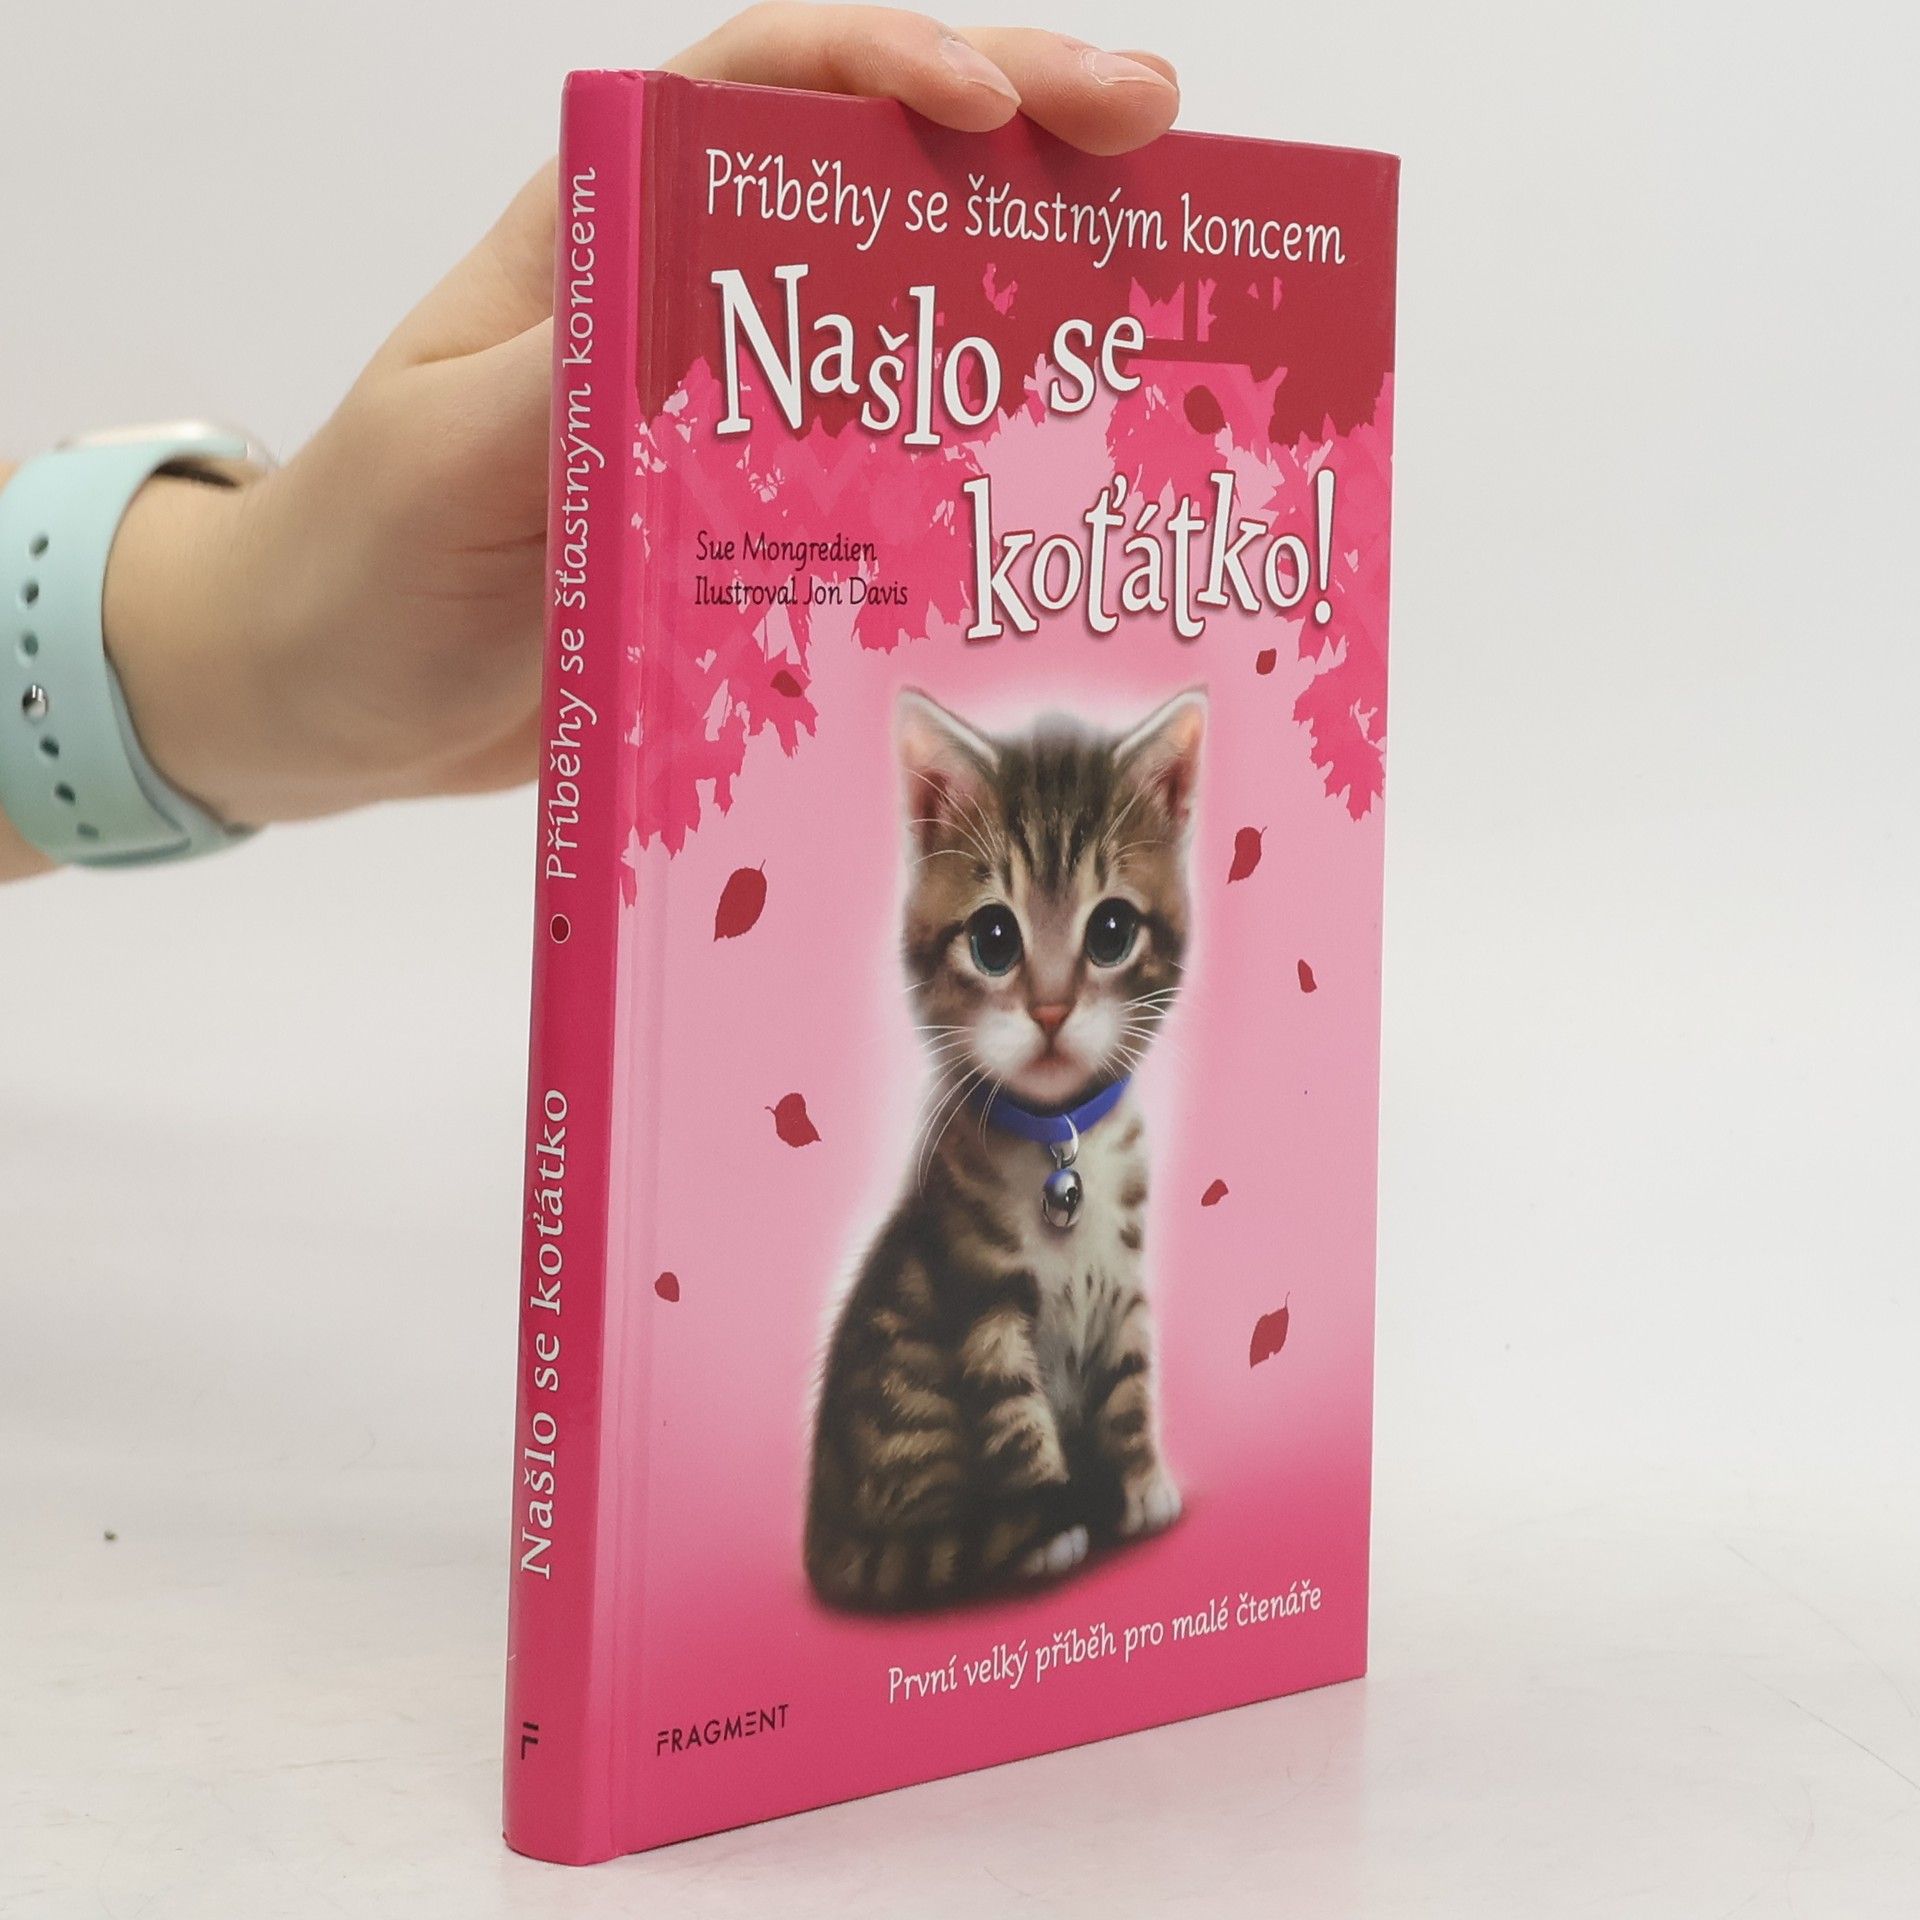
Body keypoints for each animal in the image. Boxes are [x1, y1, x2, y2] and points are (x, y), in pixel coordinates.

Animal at [805, 686, 1206, 1613]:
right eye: (994, 939)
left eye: (1111, 931)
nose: (1052, 1009)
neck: (1061, 1139)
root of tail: (824, 1536)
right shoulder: (979, 1299)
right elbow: (1013, 1421)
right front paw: (1050, 1524)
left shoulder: (1126, 1282)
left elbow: (1129, 1380)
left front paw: (1138, 1483)